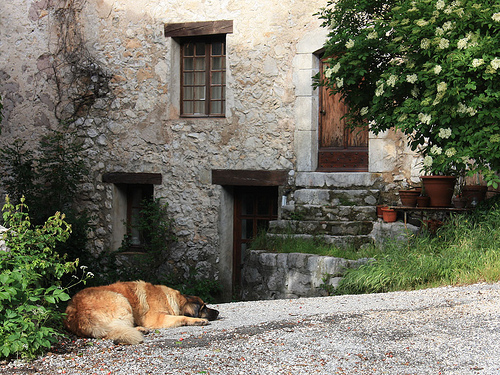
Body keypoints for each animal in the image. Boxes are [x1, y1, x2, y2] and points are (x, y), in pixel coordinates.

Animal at [63, 280, 219, 346]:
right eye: (204, 308)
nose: (217, 312)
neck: (171, 299)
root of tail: (77, 313)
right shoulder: (158, 318)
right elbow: (182, 317)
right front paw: (197, 320)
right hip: (122, 300)